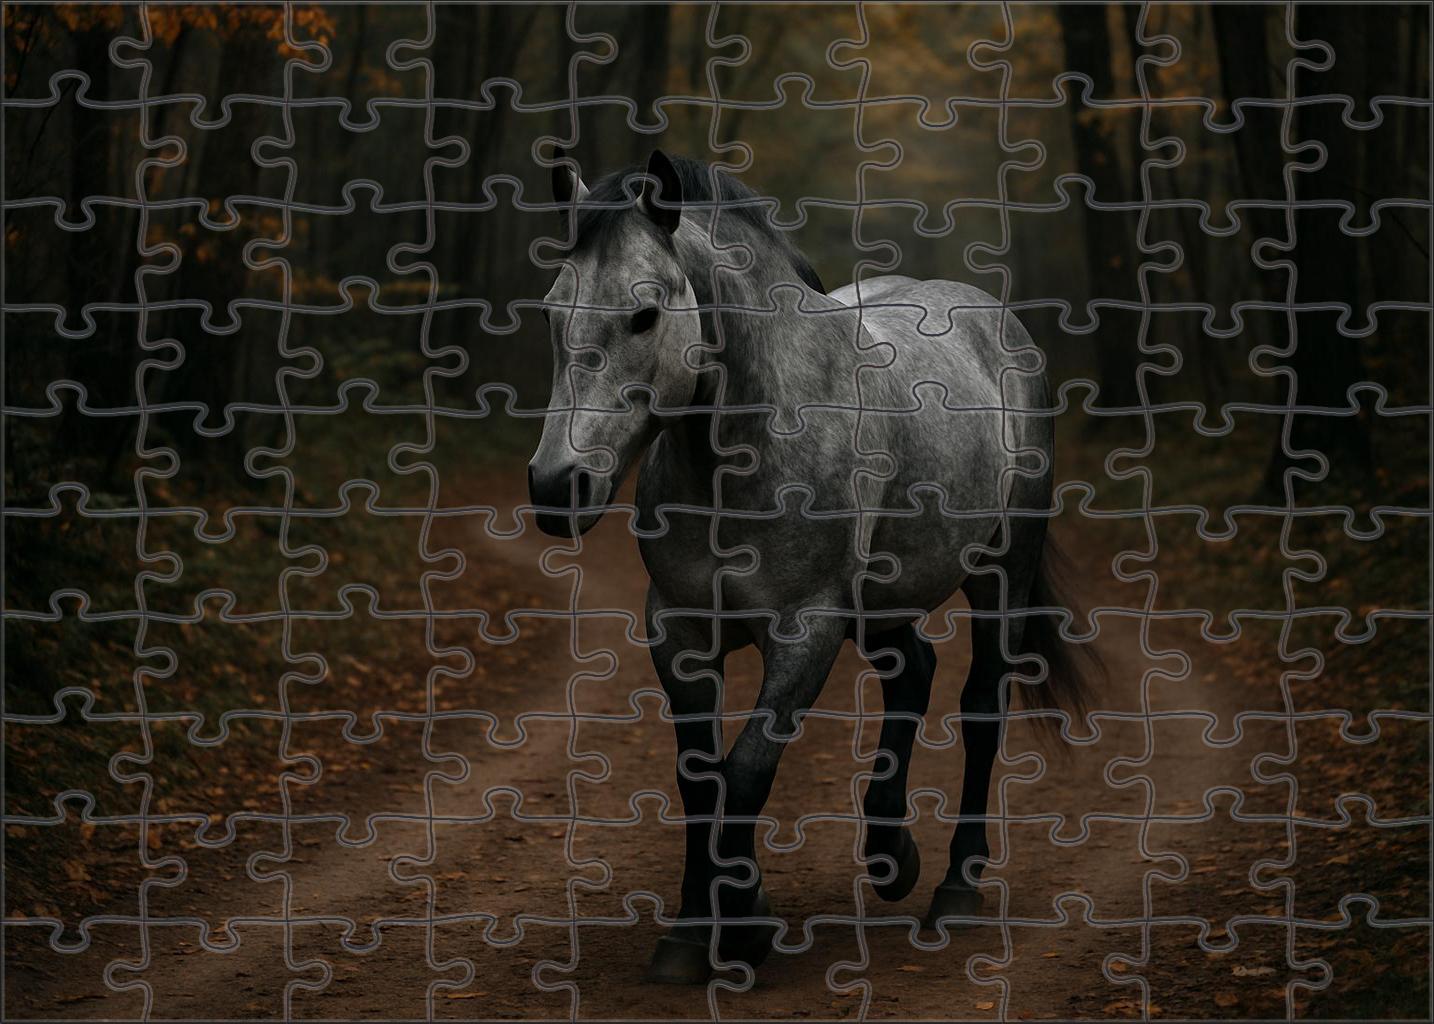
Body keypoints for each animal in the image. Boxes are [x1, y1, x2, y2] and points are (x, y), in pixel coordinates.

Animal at [526, 148, 1097, 984]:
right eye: (550, 312)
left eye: (644, 313)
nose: (556, 486)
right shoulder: (679, 632)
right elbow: (699, 777)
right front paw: (696, 927)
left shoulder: (807, 632)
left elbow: (745, 772)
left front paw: (743, 925)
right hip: (883, 599)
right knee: (913, 673)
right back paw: (890, 856)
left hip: (1002, 572)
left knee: (980, 705)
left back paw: (955, 887)